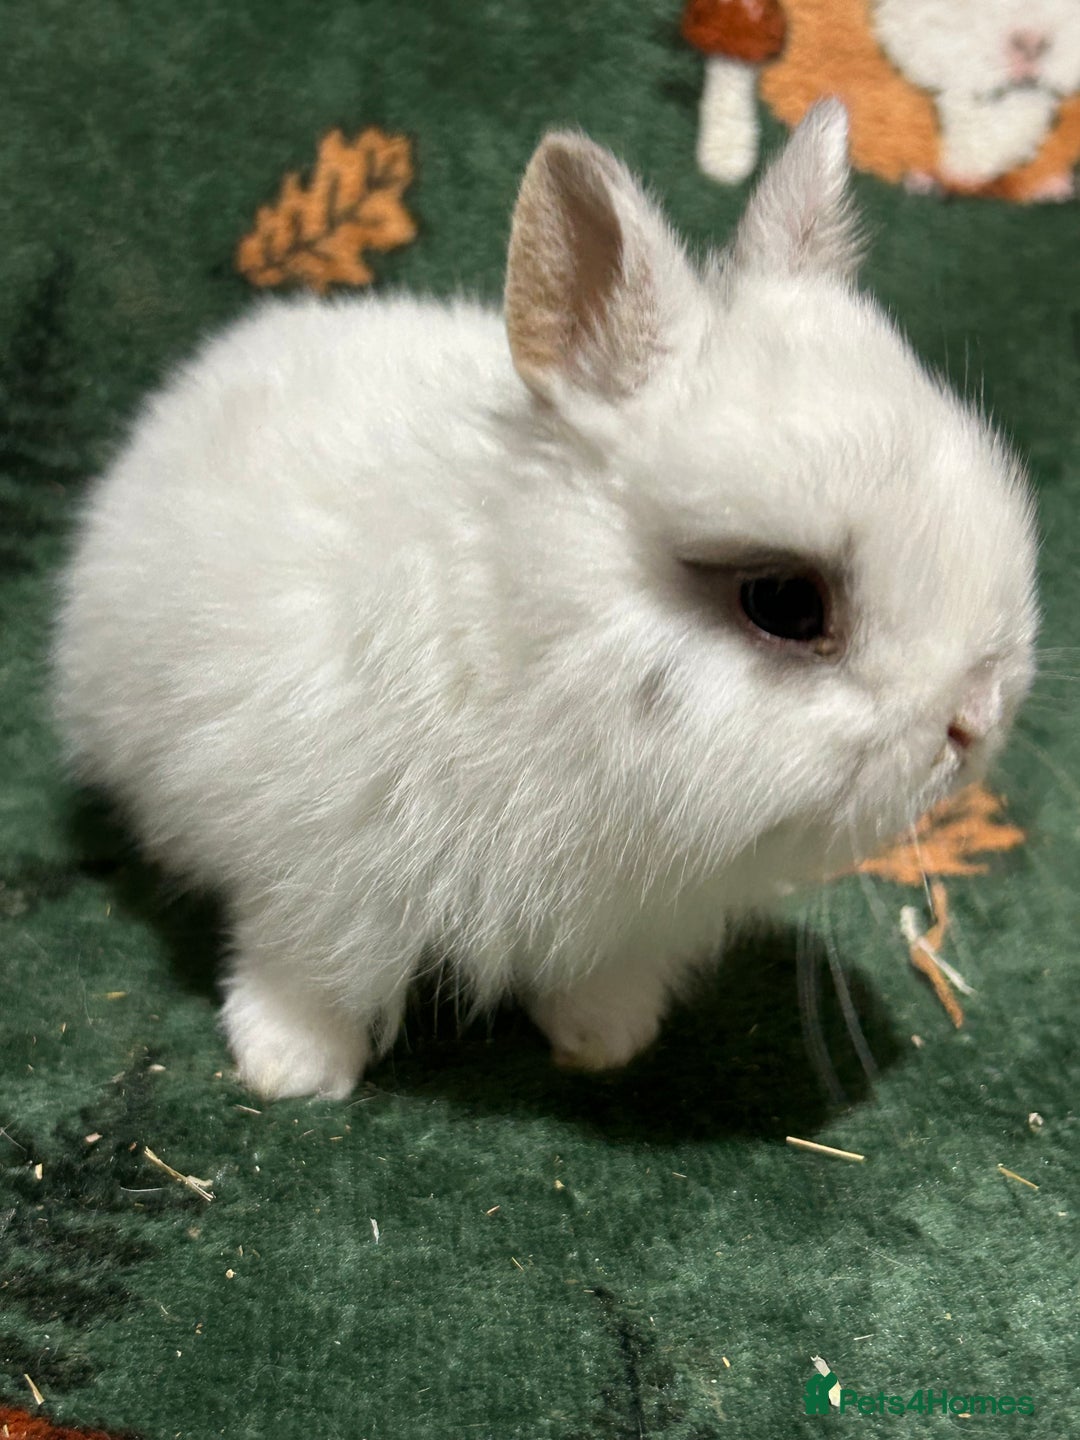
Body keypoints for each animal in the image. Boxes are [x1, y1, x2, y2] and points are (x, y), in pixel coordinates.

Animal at [54, 103, 1038, 1101]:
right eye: (785, 602)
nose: (977, 717)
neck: (534, 651)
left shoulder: (624, 923)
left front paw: (608, 1043)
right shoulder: (316, 879)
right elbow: (308, 976)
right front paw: (289, 1069)